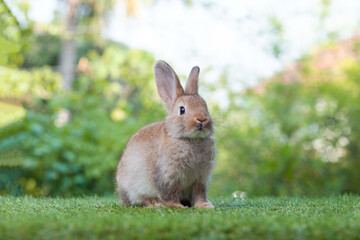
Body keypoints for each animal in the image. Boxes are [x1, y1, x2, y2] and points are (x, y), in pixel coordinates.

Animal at [116, 60, 215, 208]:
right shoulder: (167, 175)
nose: (202, 119)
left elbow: (199, 193)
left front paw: (204, 206)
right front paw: (177, 206)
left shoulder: (200, 179)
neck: (188, 139)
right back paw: (154, 203)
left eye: (205, 106)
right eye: (182, 110)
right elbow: (170, 192)